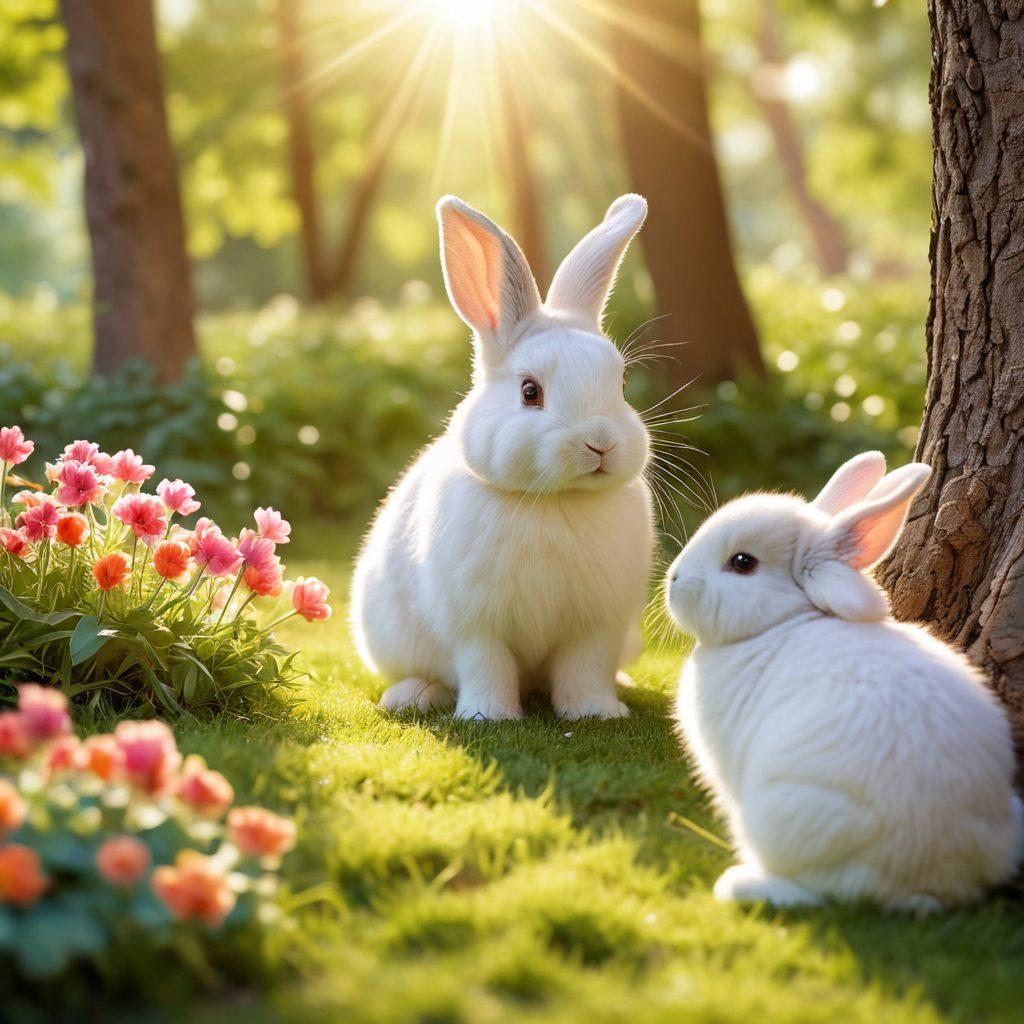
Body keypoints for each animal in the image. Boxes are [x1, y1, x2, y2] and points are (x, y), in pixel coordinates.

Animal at [350, 194, 654, 721]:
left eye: (620, 384)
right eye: (530, 392)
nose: (600, 442)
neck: (554, 501)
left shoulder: (596, 627)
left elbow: (585, 669)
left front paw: (596, 713)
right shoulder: (475, 625)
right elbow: (484, 665)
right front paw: (488, 717)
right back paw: (411, 696)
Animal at [666, 451, 1023, 913]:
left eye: (742, 563)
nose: (673, 580)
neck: (781, 623)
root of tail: (937, 881)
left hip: (784, 813)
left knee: (821, 890)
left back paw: (740, 885)